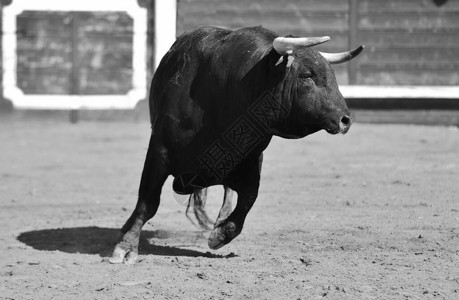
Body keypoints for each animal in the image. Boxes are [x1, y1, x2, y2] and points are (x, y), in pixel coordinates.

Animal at [110, 26, 362, 264]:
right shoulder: (159, 153)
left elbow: (248, 199)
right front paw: (125, 247)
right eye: (307, 74)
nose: (345, 119)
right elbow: (148, 202)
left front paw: (220, 234)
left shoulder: (252, 159)